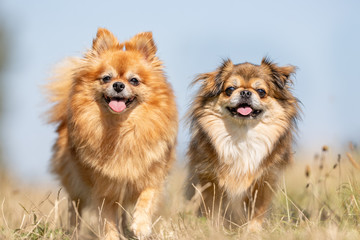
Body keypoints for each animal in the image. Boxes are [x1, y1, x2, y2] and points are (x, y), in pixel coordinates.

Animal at [46, 28, 179, 238]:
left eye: (134, 80)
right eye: (107, 78)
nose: (118, 85)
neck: (121, 130)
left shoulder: (153, 177)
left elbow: (146, 199)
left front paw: (141, 226)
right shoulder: (104, 189)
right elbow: (108, 219)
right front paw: (112, 236)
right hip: (75, 184)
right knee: (75, 210)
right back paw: (74, 233)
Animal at [187, 57, 300, 230]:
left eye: (261, 91)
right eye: (230, 89)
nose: (245, 92)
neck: (242, 136)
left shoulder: (264, 181)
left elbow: (257, 211)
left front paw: (253, 231)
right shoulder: (210, 180)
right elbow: (212, 209)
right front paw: (214, 229)